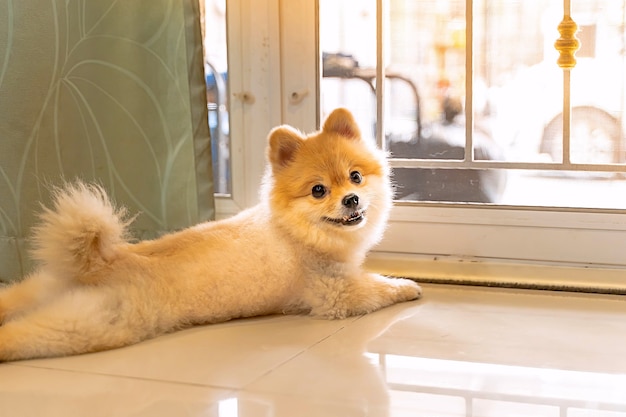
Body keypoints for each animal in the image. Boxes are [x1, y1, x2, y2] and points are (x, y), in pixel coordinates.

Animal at [0, 107, 422, 360]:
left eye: (355, 176)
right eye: (319, 190)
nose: (351, 200)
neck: (295, 229)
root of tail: (99, 259)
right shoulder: (335, 291)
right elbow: (378, 286)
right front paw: (407, 286)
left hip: (42, 290)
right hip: (97, 322)